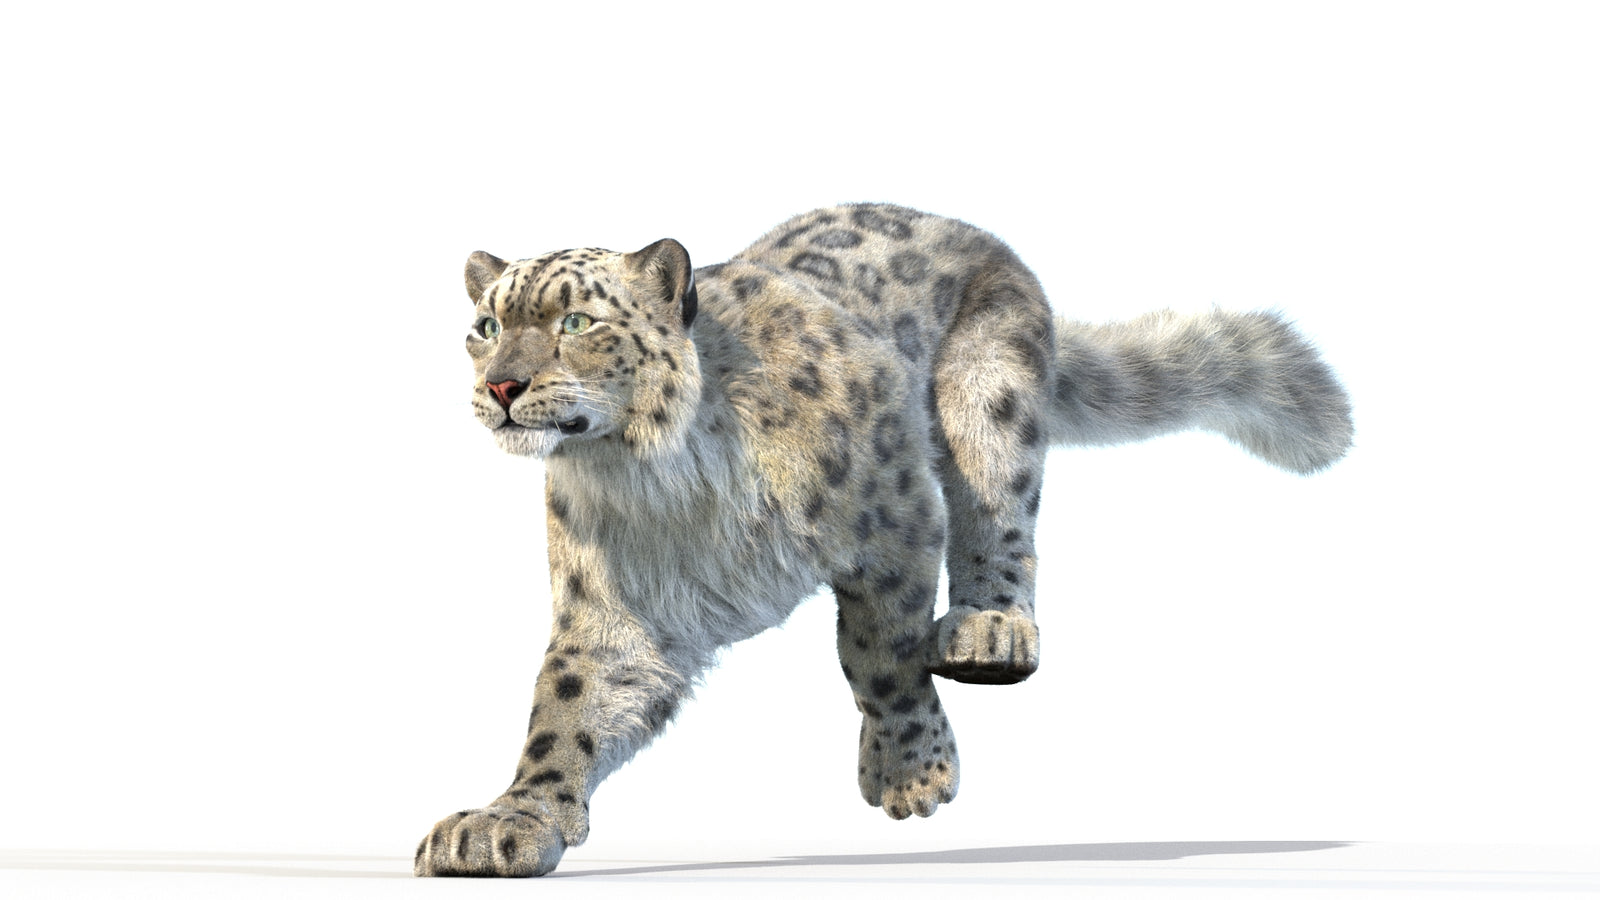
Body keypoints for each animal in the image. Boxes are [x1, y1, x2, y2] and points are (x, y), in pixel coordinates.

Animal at [413, 203, 1353, 877]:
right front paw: (506, 823)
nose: (502, 386)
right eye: (486, 327)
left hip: (988, 392)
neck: (657, 476)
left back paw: (989, 633)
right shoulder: (614, 611)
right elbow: (566, 709)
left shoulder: (895, 520)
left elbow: (880, 652)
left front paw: (911, 775)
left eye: (575, 323)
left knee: (1001, 516)